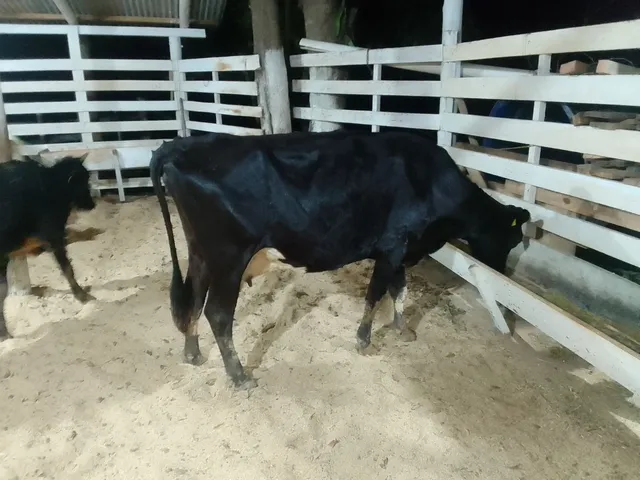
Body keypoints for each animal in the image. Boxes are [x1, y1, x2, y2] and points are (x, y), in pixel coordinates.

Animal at [0, 154, 96, 340]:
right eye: (81, 182)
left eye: (88, 178)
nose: (91, 204)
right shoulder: (53, 233)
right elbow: (67, 268)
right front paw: (82, 296)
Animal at [150, 130, 531, 389]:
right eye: (511, 240)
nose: (502, 272)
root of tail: (180, 145)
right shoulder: (393, 244)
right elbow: (376, 293)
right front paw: (363, 339)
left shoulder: (400, 250)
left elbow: (400, 290)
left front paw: (402, 328)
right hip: (229, 258)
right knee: (217, 313)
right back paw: (240, 375)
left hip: (201, 253)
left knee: (192, 300)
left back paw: (192, 354)